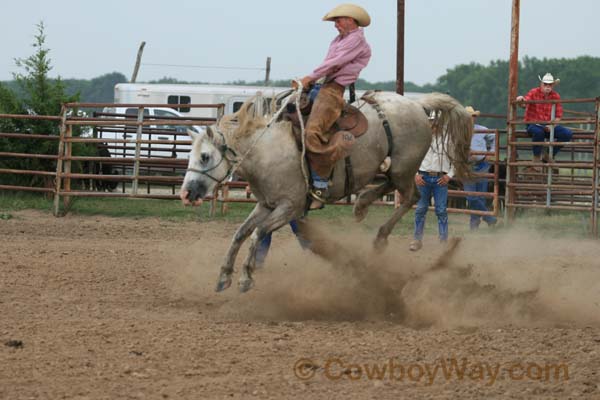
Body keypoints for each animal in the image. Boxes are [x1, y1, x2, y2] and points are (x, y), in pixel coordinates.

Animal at [180, 90, 472, 292]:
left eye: (205, 157)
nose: (185, 193)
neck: (267, 150)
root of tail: (418, 105)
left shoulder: (290, 207)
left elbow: (258, 233)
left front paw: (245, 278)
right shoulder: (266, 204)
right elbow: (241, 233)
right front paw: (223, 276)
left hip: (403, 167)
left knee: (412, 196)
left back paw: (379, 237)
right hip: (394, 169)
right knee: (393, 188)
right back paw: (361, 204)